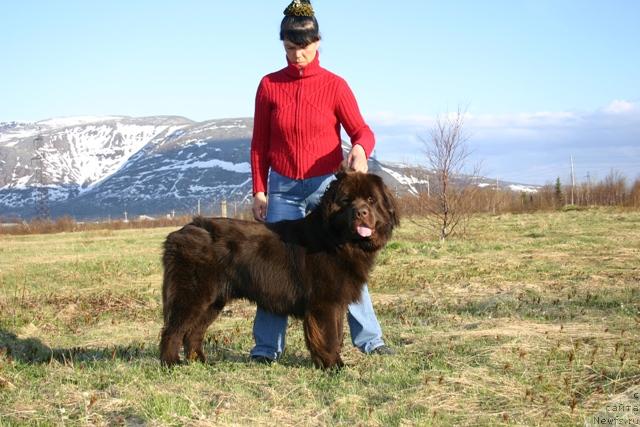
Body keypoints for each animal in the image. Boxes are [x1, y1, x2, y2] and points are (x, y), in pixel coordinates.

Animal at [160, 170, 398, 368]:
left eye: (371, 200)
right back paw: (171, 363)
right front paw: (334, 366)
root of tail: (180, 232)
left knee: (193, 332)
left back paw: (200, 361)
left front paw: (327, 362)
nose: (361, 213)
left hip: (214, 301)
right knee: (173, 330)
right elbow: (329, 335)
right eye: (346, 201)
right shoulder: (324, 303)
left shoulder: (336, 302)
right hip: (193, 295)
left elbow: (337, 333)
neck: (337, 240)